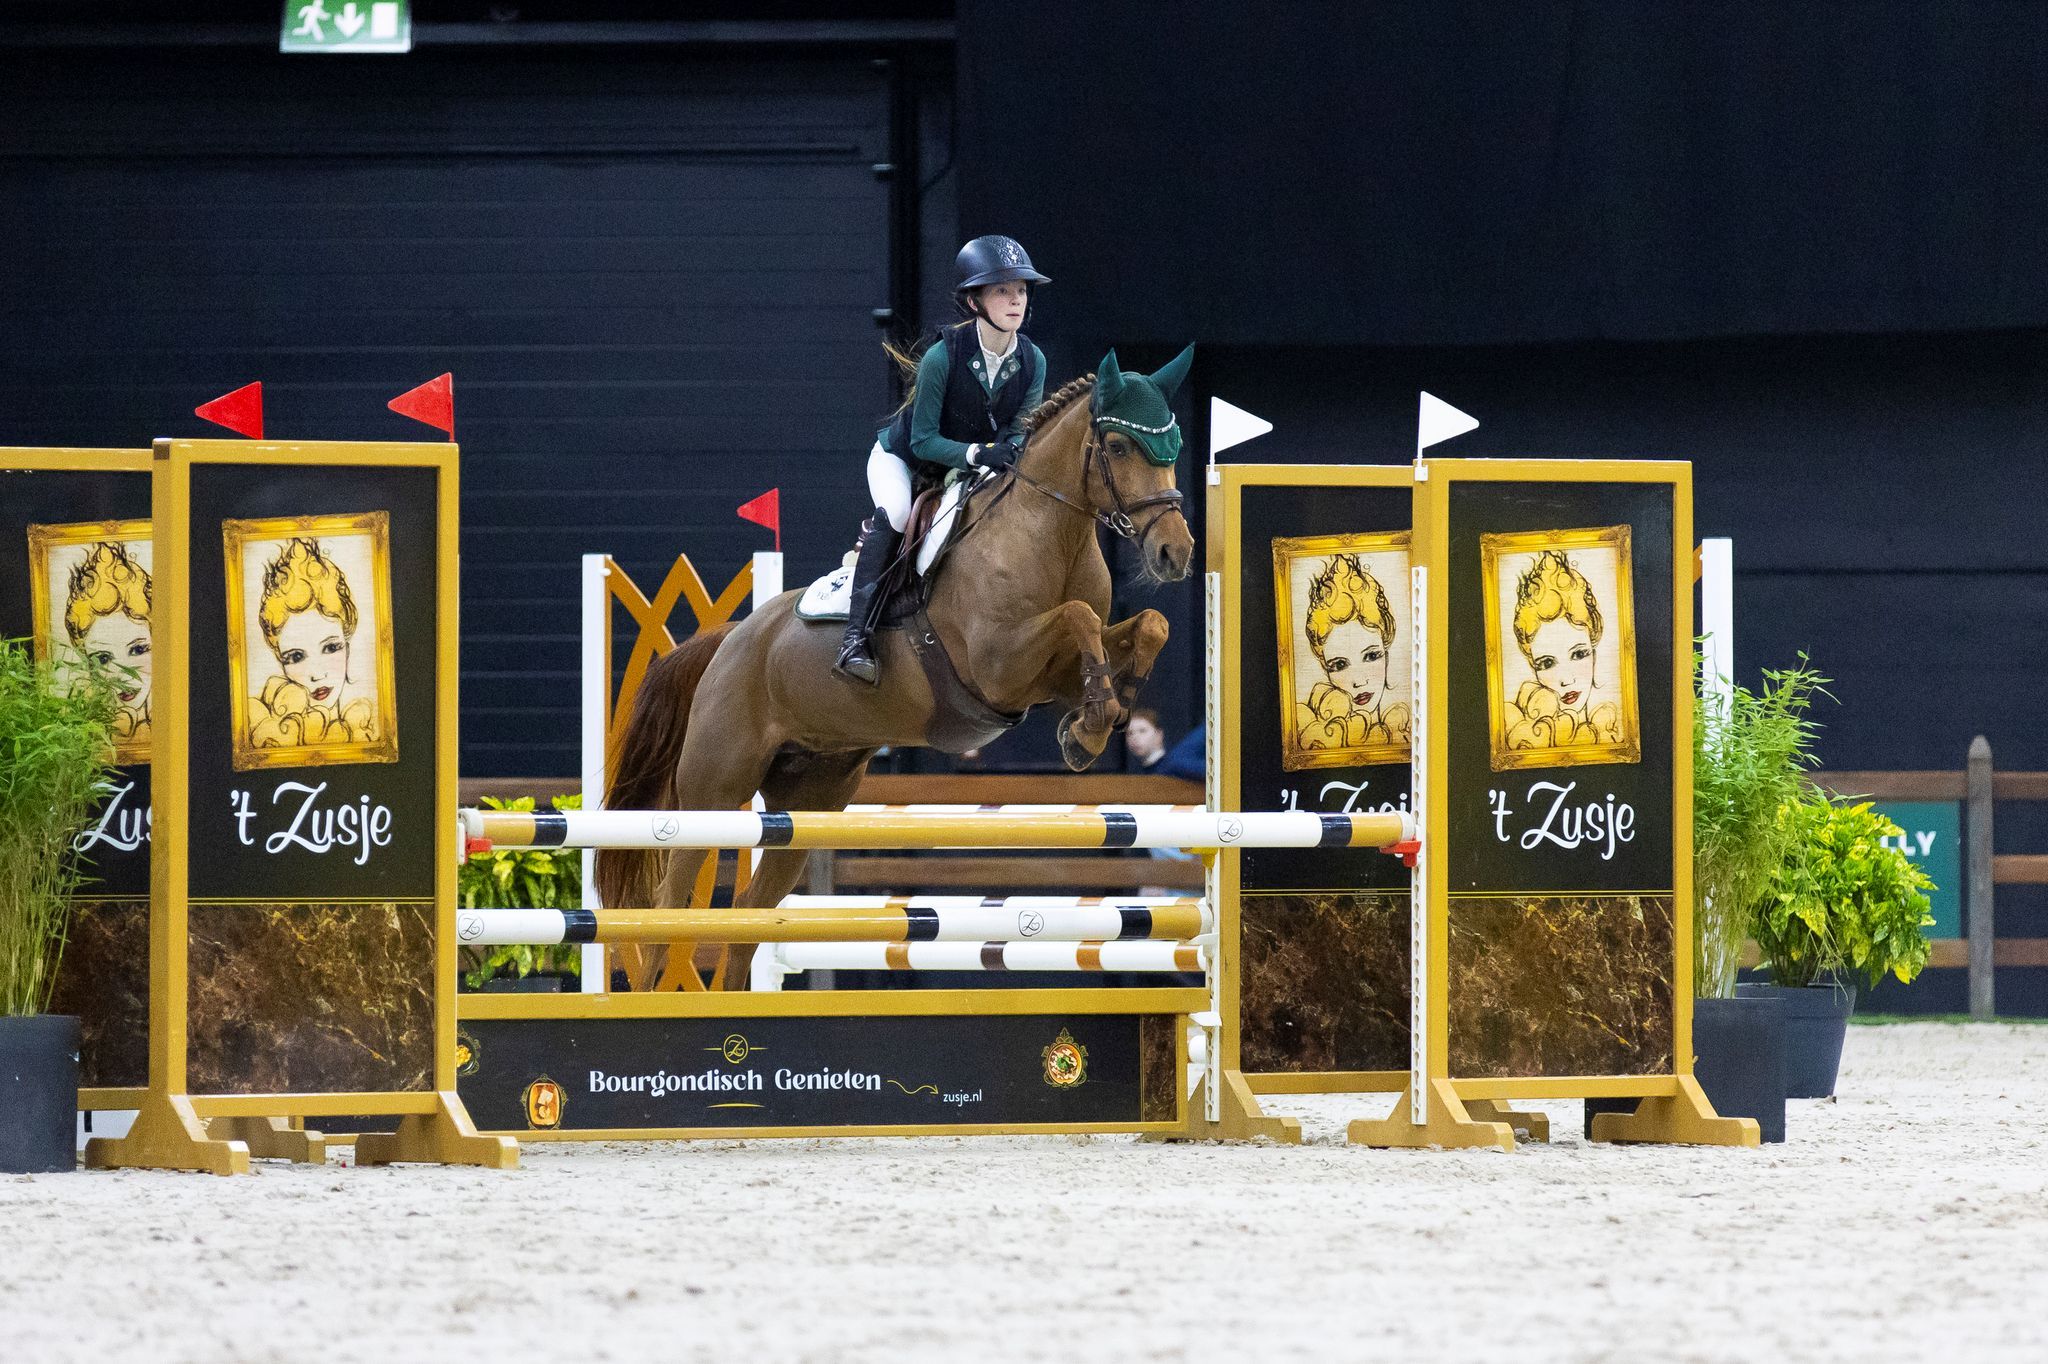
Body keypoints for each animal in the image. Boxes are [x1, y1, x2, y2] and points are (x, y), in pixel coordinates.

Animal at [595, 347, 1198, 985]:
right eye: (1119, 447)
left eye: (1175, 445)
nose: (1176, 552)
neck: (1047, 533)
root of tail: (730, 639)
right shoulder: (999, 667)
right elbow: (1079, 616)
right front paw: (1087, 731)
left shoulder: (1048, 674)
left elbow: (1146, 625)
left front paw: (1099, 718)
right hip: (713, 790)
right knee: (669, 909)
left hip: (809, 800)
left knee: (747, 920)